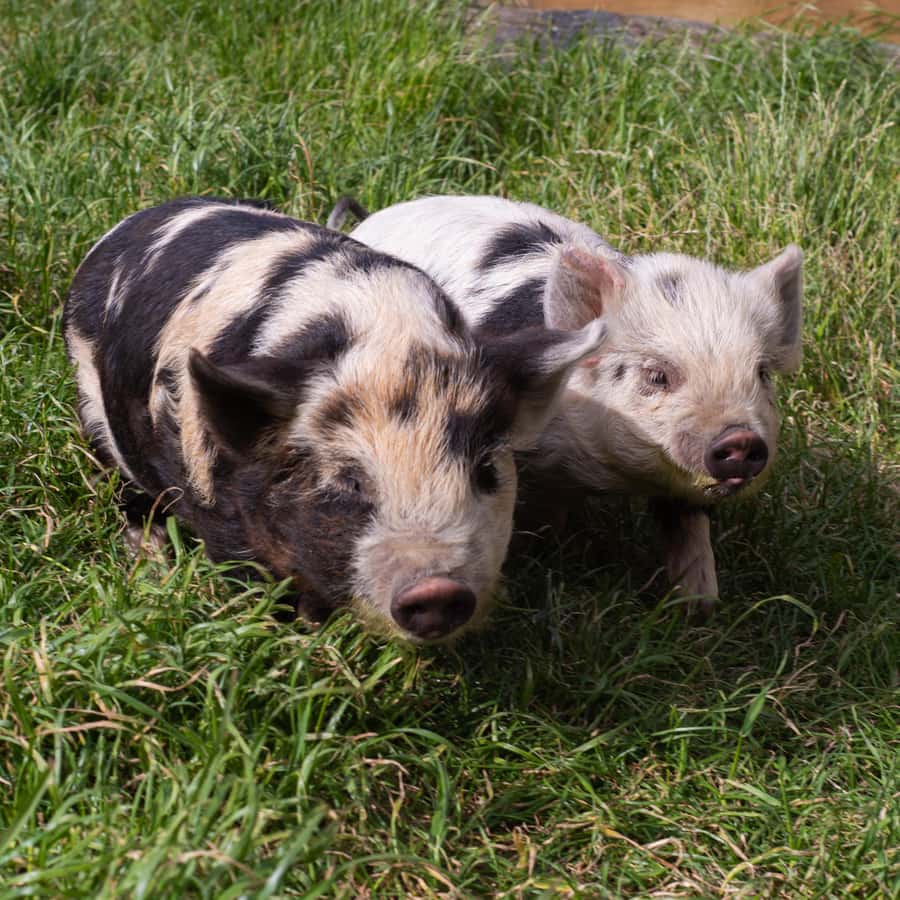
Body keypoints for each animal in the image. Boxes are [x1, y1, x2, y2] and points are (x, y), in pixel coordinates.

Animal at [63, 197, 607, 642]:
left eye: (484, 471)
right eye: (348, 483)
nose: (435, 590)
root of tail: (127, 225)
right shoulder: (214, 504)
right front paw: (299, 629)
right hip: (92, 411)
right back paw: (148, 549)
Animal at [331, 194, 803, 610]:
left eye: (761, 373)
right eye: (657, 375)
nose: (740, 439)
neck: (604, 473)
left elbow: (689, 527)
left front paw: (699, 607)